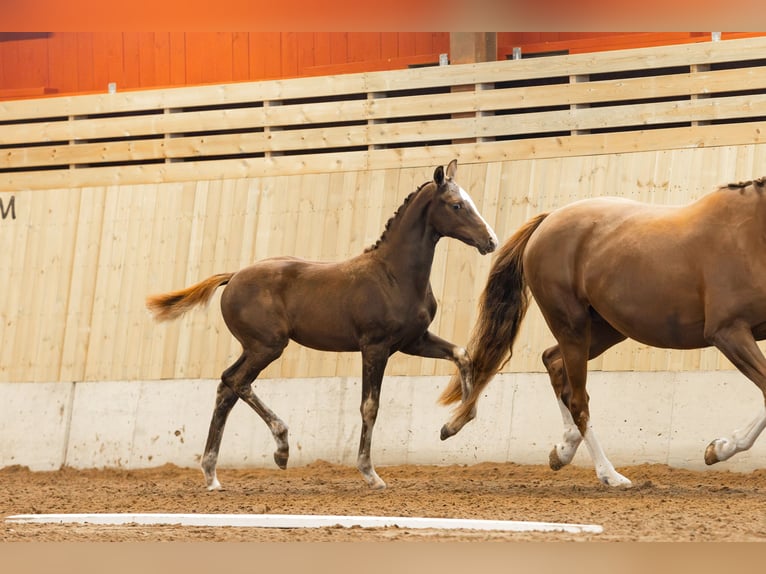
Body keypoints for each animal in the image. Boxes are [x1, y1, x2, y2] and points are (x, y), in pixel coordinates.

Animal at [148, 161, 498, 490]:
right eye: (456, 205)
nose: (491, 241)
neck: (395, 274)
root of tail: (233, 276)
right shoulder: (375, 346)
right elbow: (370, 406)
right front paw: (370, 474)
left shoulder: (413, 341)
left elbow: (462, 354)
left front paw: (453, 425)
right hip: (268, 346)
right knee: (236, 382)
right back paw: (281, 448)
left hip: (253, 347)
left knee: (226, 388)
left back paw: (212, 475)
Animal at [440, 178, 766, 488]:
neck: (752, 235)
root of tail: (547, 221)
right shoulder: (728, 331)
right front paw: (719, 449)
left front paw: (718, 448)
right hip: (571, 325)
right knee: (578, 400)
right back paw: (610, 475)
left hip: (604, 330)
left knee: (553, 363)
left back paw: (563, 450)